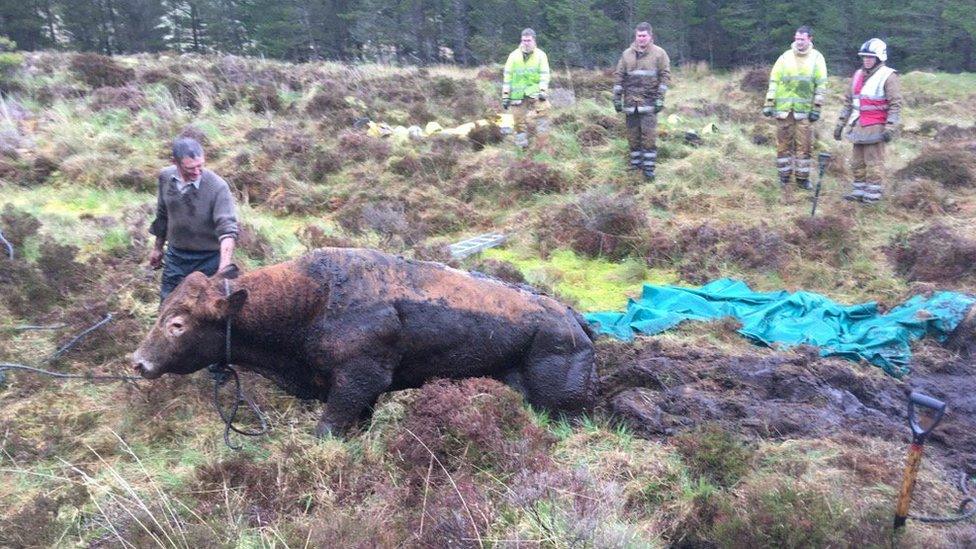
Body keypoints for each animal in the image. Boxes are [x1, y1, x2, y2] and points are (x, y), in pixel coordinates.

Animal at [133, 246, 600, 434]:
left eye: (178, 324)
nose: (137, 362)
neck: (312, 298)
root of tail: (574, 321)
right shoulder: (361, 394)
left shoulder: (357, 382)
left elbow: (327, 428)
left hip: (560, 407)